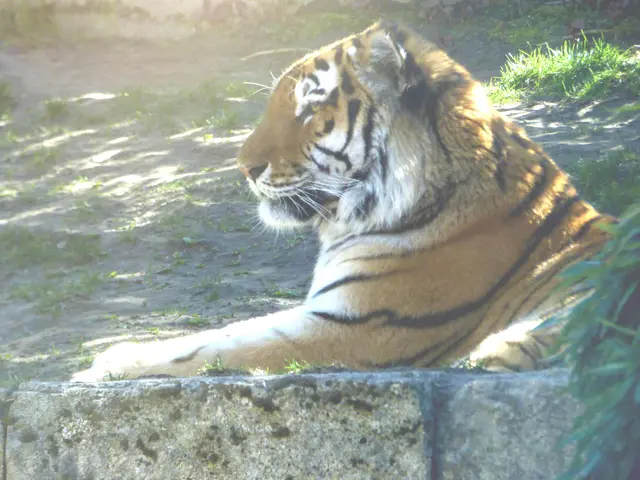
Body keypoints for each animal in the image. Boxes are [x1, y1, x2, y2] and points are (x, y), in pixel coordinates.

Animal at [71, 20, 615, 382]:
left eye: (309, 110)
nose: (244, 167)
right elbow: (228, 330)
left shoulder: (356, 326)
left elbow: (218, 347)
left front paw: (109, 362)